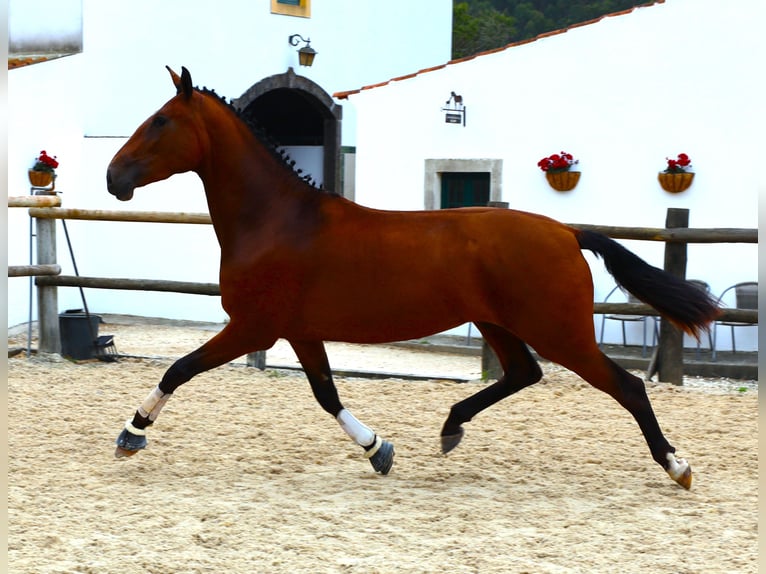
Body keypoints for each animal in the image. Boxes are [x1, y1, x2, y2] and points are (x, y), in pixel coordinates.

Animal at [106, 67, 720, 490]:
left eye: (161, 121)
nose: (114, 177)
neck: (277, 220)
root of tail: (567, 231)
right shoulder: (298, 331)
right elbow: (326, 393)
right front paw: (379, 449)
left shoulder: (253, 327)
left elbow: (180, 368)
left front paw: (131, 434)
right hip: (497, 323)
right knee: (523, 372)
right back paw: (451, 427)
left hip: (559, 330)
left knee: (626, 386)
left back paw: (678, 466)